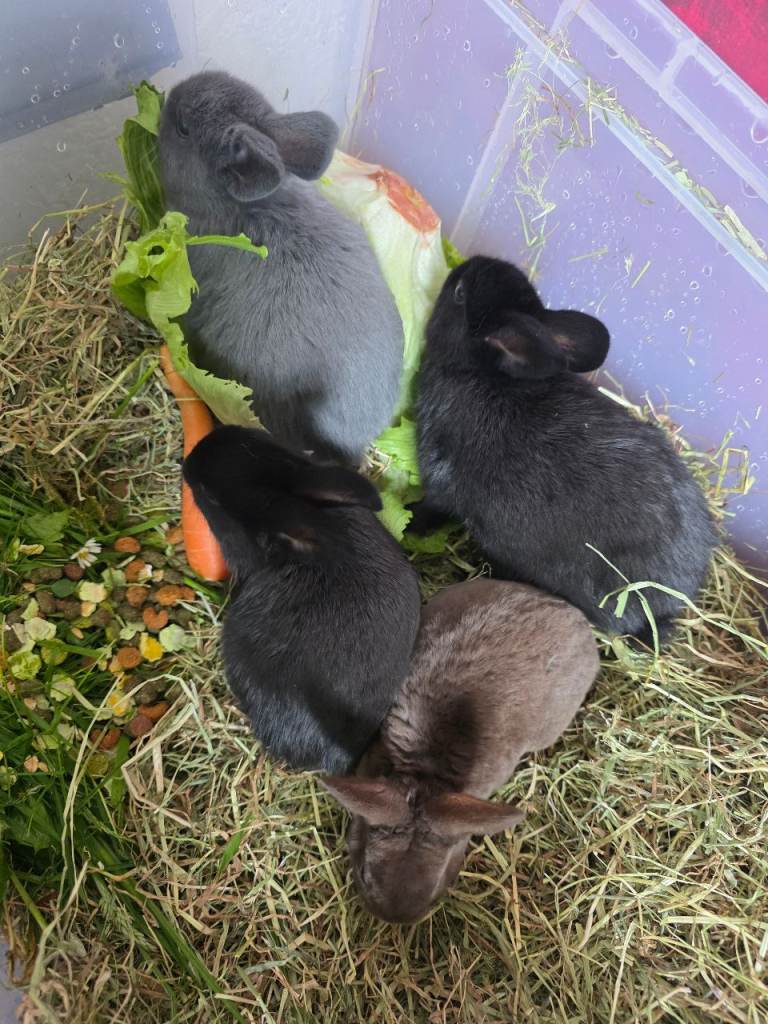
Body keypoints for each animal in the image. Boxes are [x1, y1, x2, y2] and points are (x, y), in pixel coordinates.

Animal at [412, 255, 717, 646]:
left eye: (460, 293)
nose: (464, 263)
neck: (481, 373)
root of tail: (676, 599)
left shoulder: (440, 481)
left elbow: (431, 508)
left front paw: (409, 520)